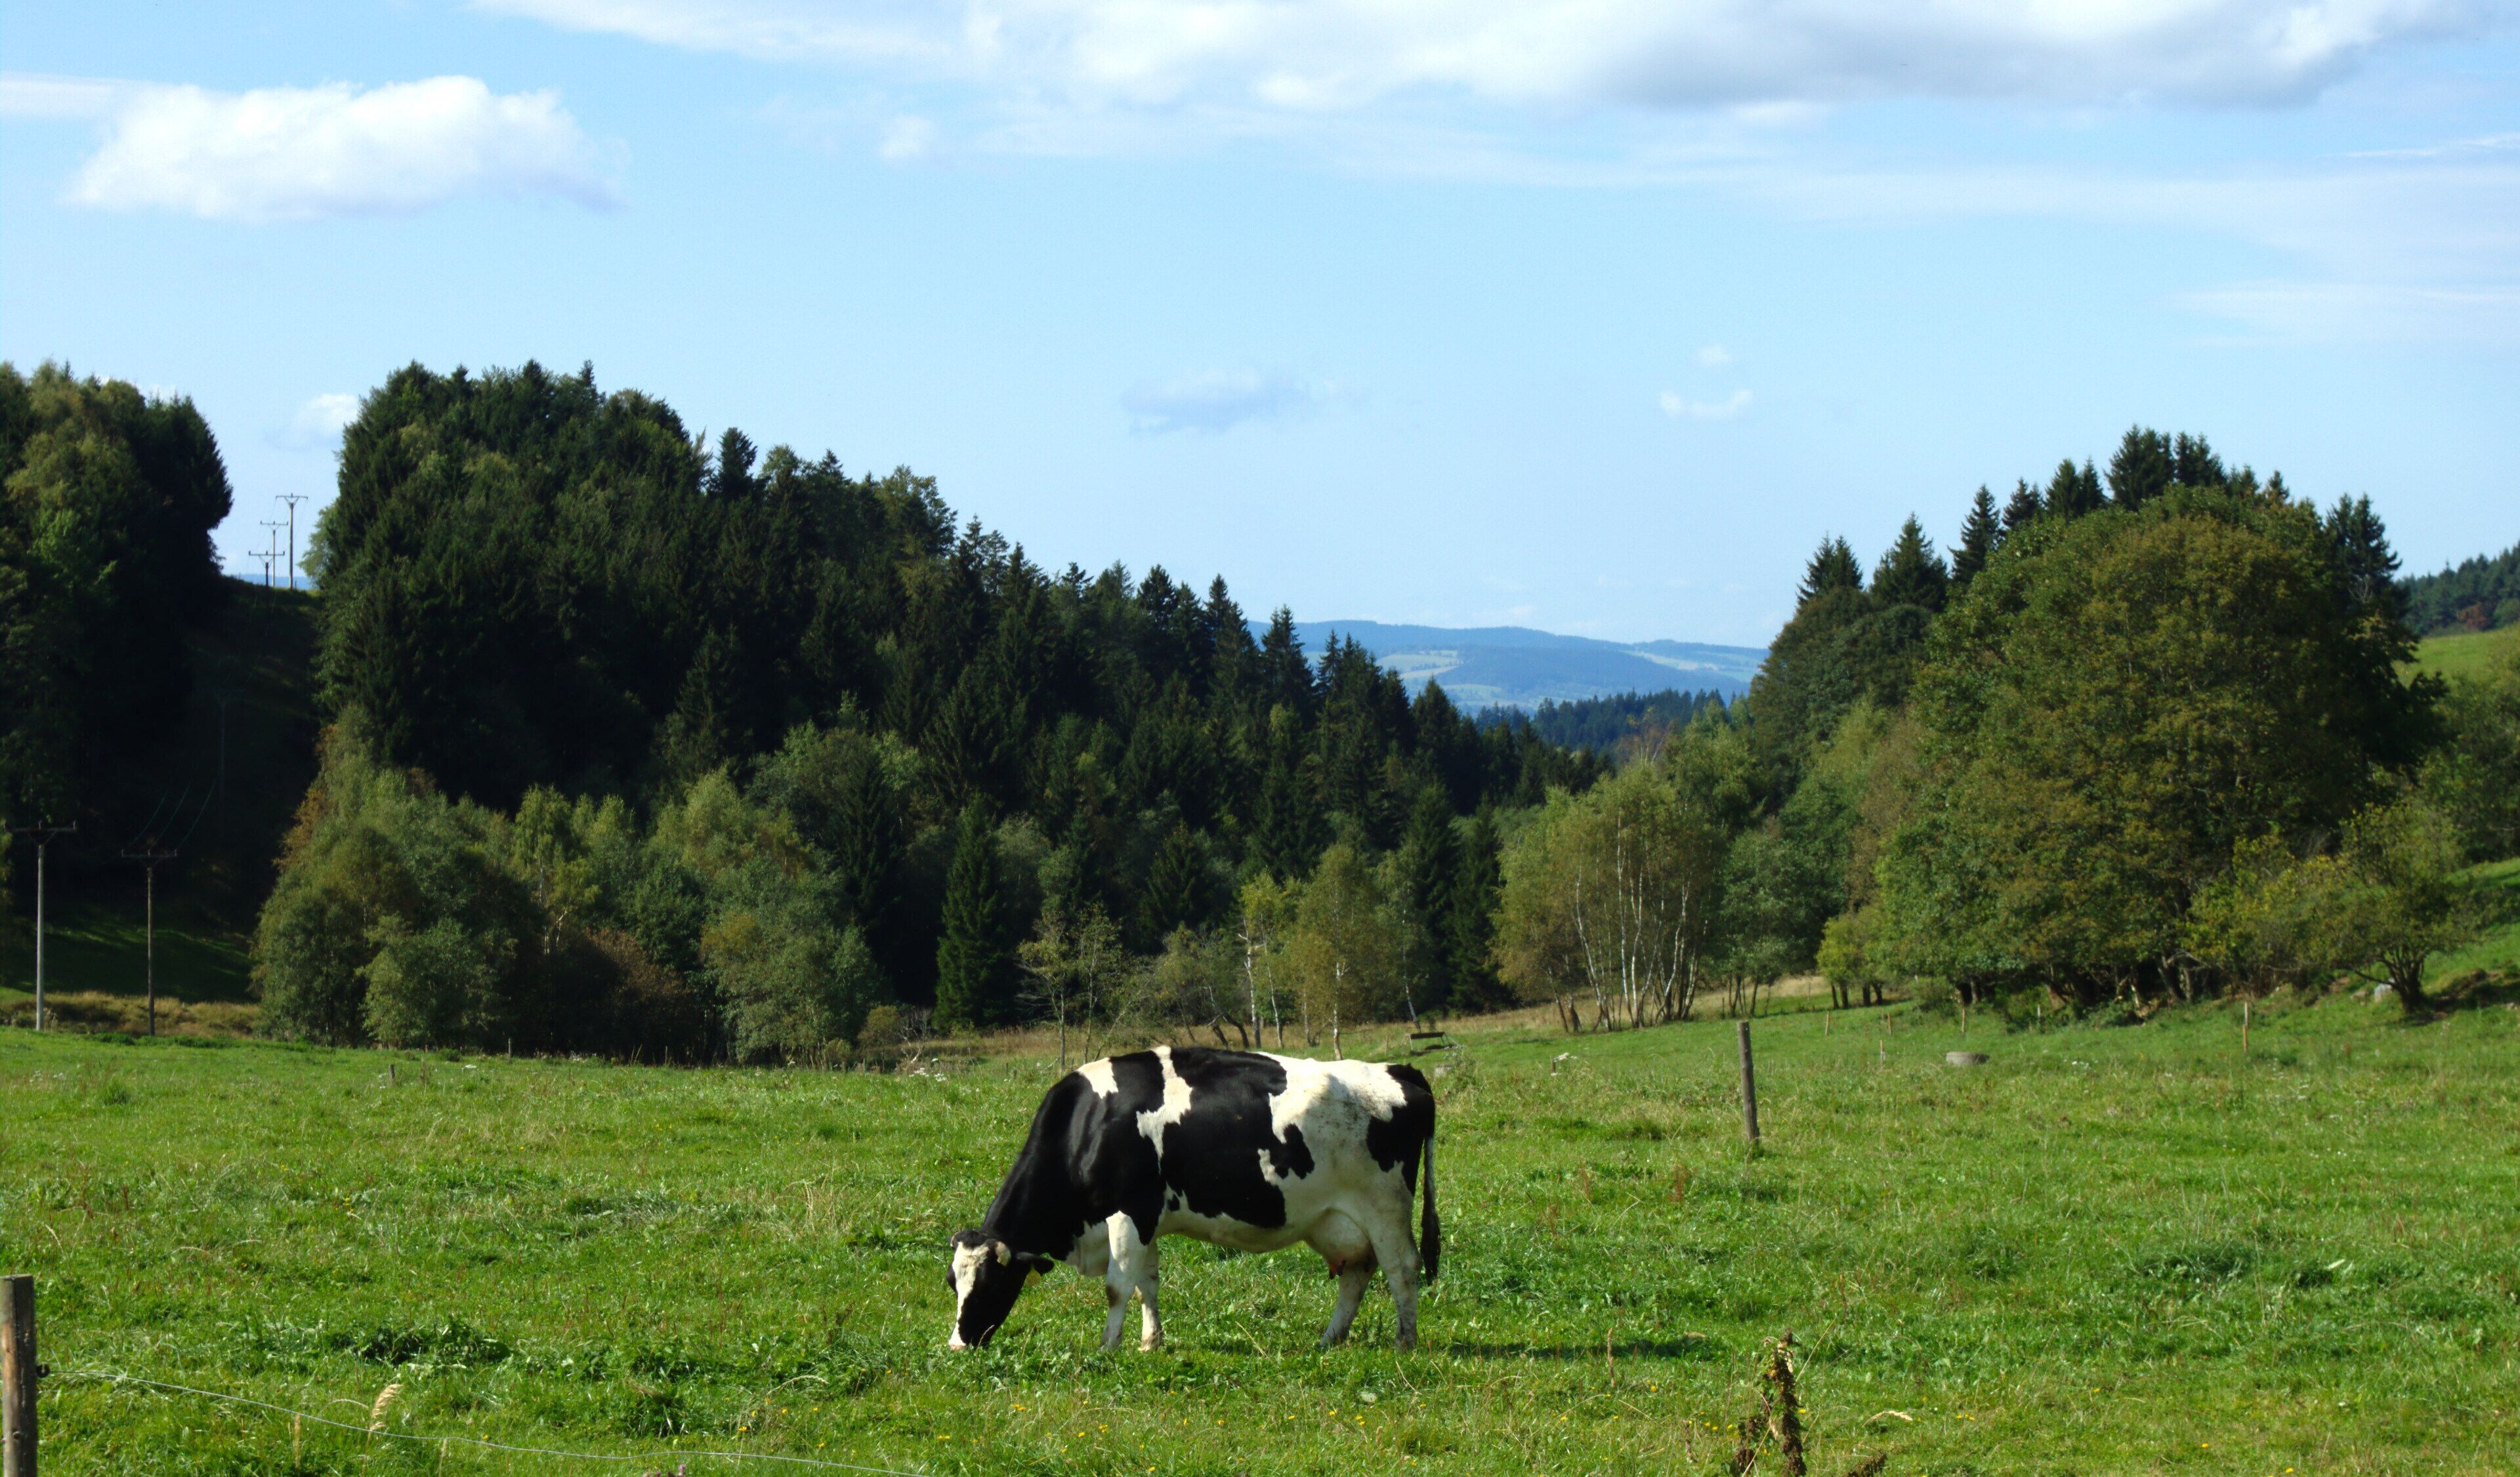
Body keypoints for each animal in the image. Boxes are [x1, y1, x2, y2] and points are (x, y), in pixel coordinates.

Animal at [946, 1046, 1438, 1353]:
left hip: (1385, 1207)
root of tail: (1401, 1070)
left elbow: (1117, 1286)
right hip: (1336, 1220)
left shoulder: (1129, 1212)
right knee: (1356, 1273)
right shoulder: (1146, 1219)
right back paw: (1329, 1339)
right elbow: (1147, 1283)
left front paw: (1108, 1347)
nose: (957, 1345)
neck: (1089, 1126)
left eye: (989, 1284)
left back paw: (1405, 1342)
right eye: (953, 1284)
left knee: (1402, 1268)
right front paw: (1151, 1341)